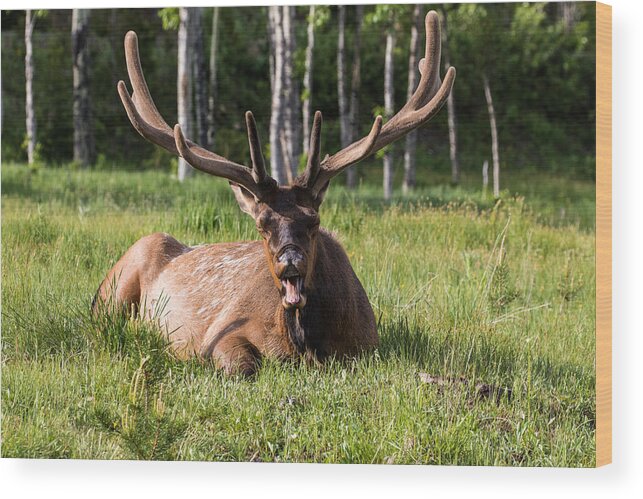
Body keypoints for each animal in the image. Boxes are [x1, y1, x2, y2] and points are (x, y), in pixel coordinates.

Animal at [94, 10, 458, 376]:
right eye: (262, 225)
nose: (290, 261)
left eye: (314, 221)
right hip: (114, 288)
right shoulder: (217, 334)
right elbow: (243, 366)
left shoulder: (367, 346)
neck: (305, 345)